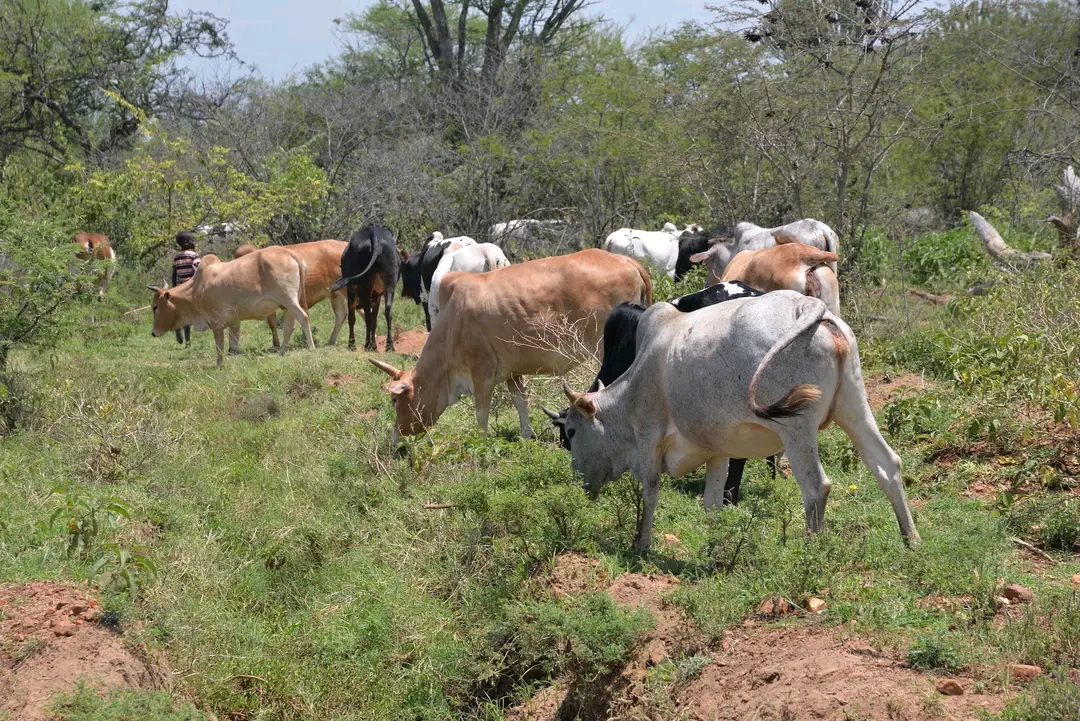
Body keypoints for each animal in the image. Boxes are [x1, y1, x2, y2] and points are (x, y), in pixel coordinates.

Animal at [148, 246, 315, 366]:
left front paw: (219, 365)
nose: (153, 333)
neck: (195, 289)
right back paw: (282, 351)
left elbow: (219, 346)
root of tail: (289, 252)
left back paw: (311, 348)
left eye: (155, 307)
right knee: (289, 326)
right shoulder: (234, 321)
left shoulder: (216, 322)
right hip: (288, 304)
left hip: (289, 299)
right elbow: (234, 345)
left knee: (303, 317)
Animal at [369, 249, 652, 444]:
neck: (452, 323)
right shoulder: (512, 372)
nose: (395, 438)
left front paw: (481, 441)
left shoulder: (481, 373)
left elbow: (481, 413)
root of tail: (625, 261)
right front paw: (527, 435)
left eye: (395, 400)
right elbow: (520, 402)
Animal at [560, 291, 920, 553]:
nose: (579, 483)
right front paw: (713, 548)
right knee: (888, 465)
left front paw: (642, 545)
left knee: (816, 486)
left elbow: (650, 493)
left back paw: (811, 551)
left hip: (797, 428)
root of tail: (807, 305)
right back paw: (910, 539)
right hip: (854, 408)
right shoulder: (717, 451)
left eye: (572, 431)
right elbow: (712, 504)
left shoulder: (649, 438)